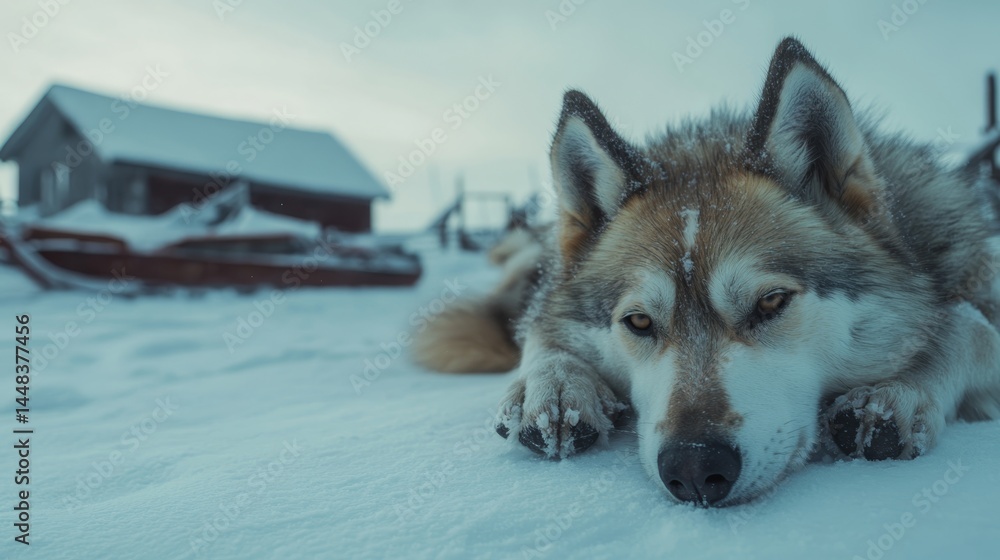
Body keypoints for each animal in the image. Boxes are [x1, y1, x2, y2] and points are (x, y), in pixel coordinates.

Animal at [413, 37, 1000, 506]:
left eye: (771, 302)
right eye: (639, 322)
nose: (694, 467)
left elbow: (967, 327)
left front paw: (897, 392)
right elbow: (543, 333)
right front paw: (555, 385)